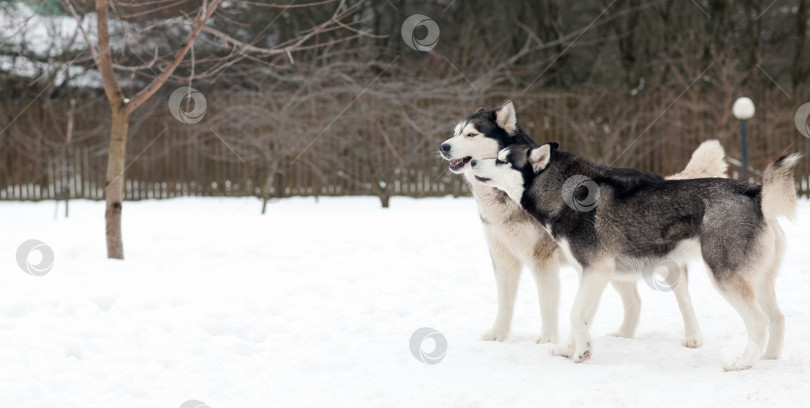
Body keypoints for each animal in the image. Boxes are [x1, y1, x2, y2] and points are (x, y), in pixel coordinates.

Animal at [438, 101, 728, 344]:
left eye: (471, 135)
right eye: (455, 132)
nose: (443, 146)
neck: (504, 202)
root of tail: (660, 177)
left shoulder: (543, 260)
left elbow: (547, 304)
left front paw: (547, 340)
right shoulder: (503, 257)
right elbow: (505, 303)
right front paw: (498, 335)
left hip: (657, 264)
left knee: (683, 298)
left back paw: (692, 336)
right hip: (616, 267)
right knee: (634, 300)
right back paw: (623, 335)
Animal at [470, 143, 800, 370]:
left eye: (502, 159)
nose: (472, 160)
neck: (562, 194)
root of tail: (755, 192)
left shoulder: (596, 270)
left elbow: (575, 314)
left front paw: (581, 352)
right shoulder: (593, 274)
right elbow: (582, 316)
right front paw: (571, 348)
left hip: (724, 276)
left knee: (759, 321)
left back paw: (743, 362)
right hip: (758, 279)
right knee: (778, 317)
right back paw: (769, 357)